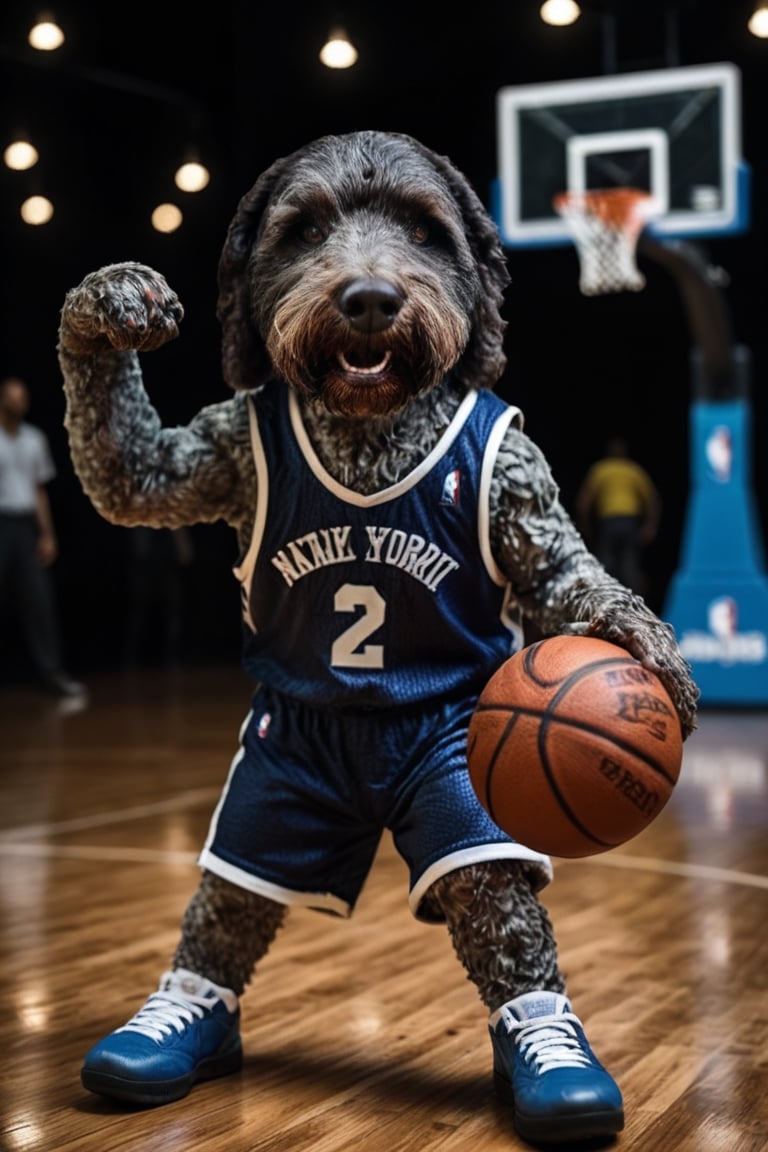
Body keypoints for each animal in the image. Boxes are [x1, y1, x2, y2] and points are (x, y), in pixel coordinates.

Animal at [56, 130, 700, 1147]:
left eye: (424, 231)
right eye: (305, 230)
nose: (368, 297)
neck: (369, 427)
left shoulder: (517, 477)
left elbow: (561, 578)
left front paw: (642, 644)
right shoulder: (220, 454)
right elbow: (126, 470)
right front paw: (109, 302)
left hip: (464, 776)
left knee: (493, 904)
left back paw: (552, 1062)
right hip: (274, 795)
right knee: (231, 902)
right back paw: (170, 1031)